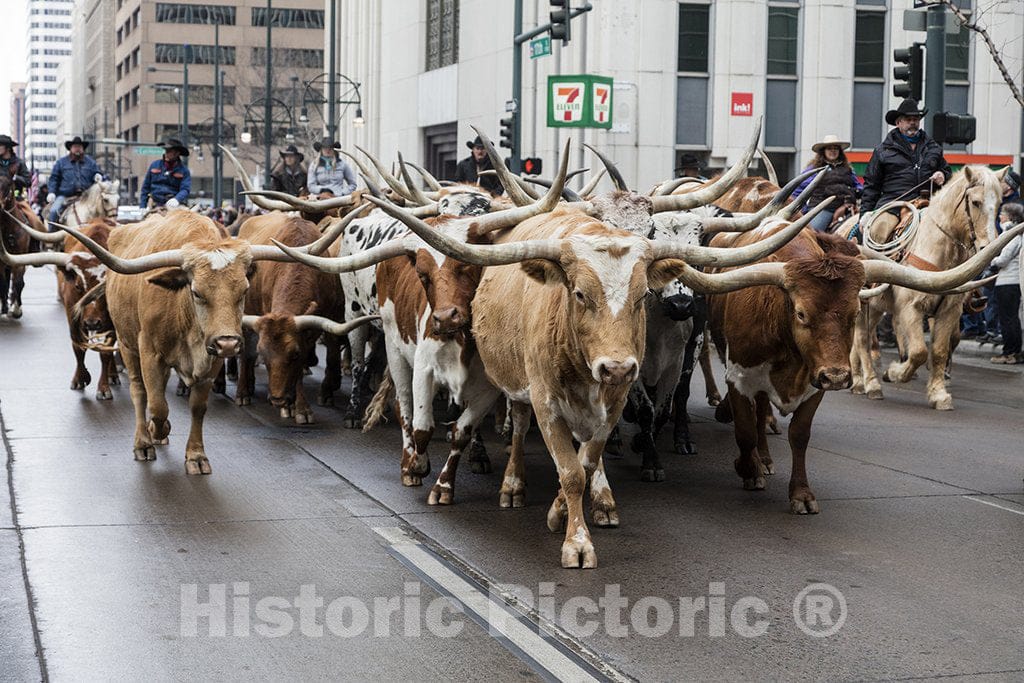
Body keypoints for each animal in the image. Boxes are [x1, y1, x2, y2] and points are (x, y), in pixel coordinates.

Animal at [686, 221, 1024, 513]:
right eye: (801, 313)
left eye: (853, 313)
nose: (837, 376)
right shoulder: (739, 377)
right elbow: (744, 431)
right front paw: (748, 469)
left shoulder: (815, 385)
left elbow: (799, 435)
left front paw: (801, 494)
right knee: (756, 415)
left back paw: (766, 458)